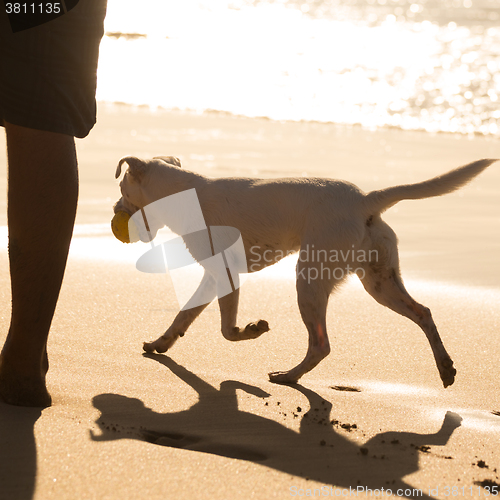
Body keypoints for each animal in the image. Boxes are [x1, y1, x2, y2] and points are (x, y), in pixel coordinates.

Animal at [114, 155, 496, 386]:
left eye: (121, 187)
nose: (114, 208)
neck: (183, 195)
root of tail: (364, 200)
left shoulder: (224, 272)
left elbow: (226, 330)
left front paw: (252, 330)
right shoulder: (214, 276)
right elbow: (184, 316)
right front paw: (161, 343)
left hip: (309, 281)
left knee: (320, 344)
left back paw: (288, 376)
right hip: (380, 282)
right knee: (424, 312)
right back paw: (445, 367)